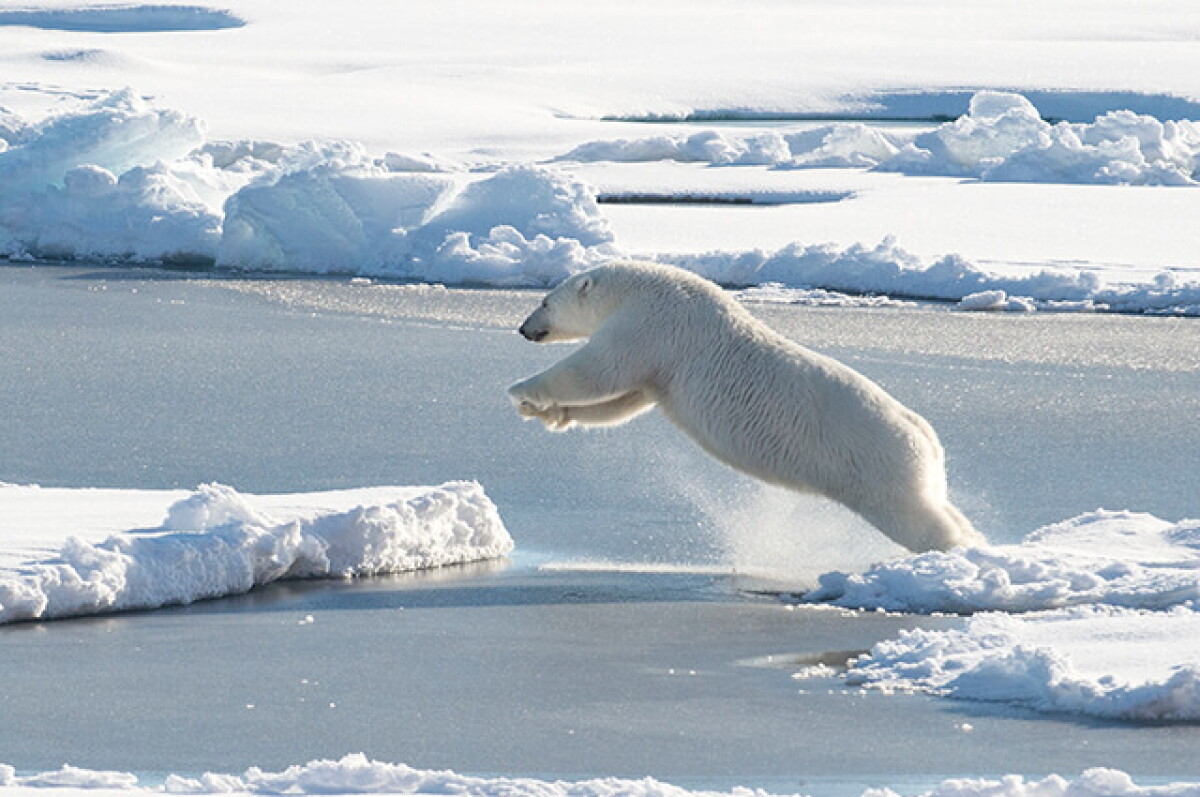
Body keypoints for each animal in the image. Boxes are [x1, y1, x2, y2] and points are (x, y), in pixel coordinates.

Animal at [507, 260, 983, 553]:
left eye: (545, 302)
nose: (524, 328)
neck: (639, 288)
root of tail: (924, 434)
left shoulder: (652, 324)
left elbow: (599, 370)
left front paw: (521, 389)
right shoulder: (660, 364)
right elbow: (625, 400)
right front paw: (549, 414)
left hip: (873, 462)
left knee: (916, 518)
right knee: (938, 504)